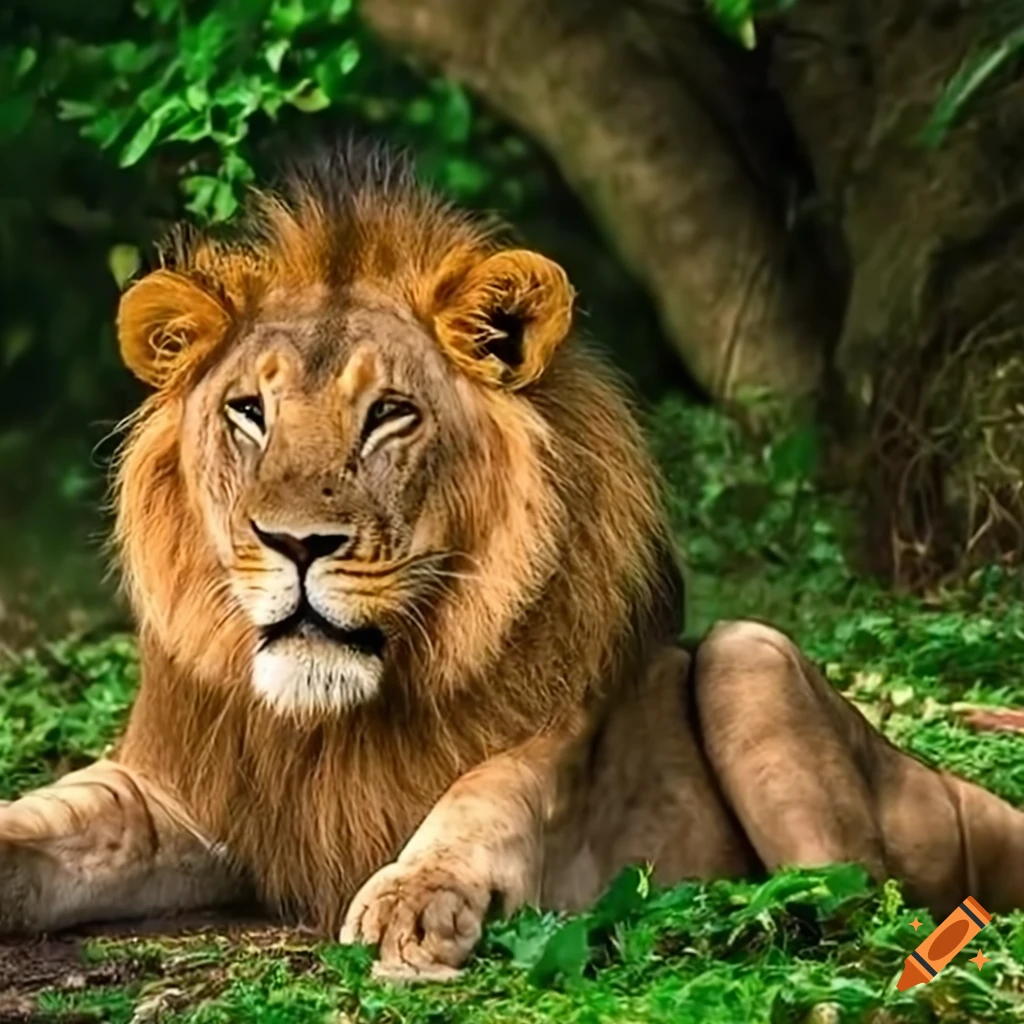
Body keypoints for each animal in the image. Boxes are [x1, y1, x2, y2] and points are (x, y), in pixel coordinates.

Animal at [2, 143, 1024, 981]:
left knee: (861, 901)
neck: (335, 719)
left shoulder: (557, 739)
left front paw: (415, 898)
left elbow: (481, 798)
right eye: (249, 412)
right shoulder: (170, 792)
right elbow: (49, 818)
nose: (296, 544)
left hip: (750, 658)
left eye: (389, 415)